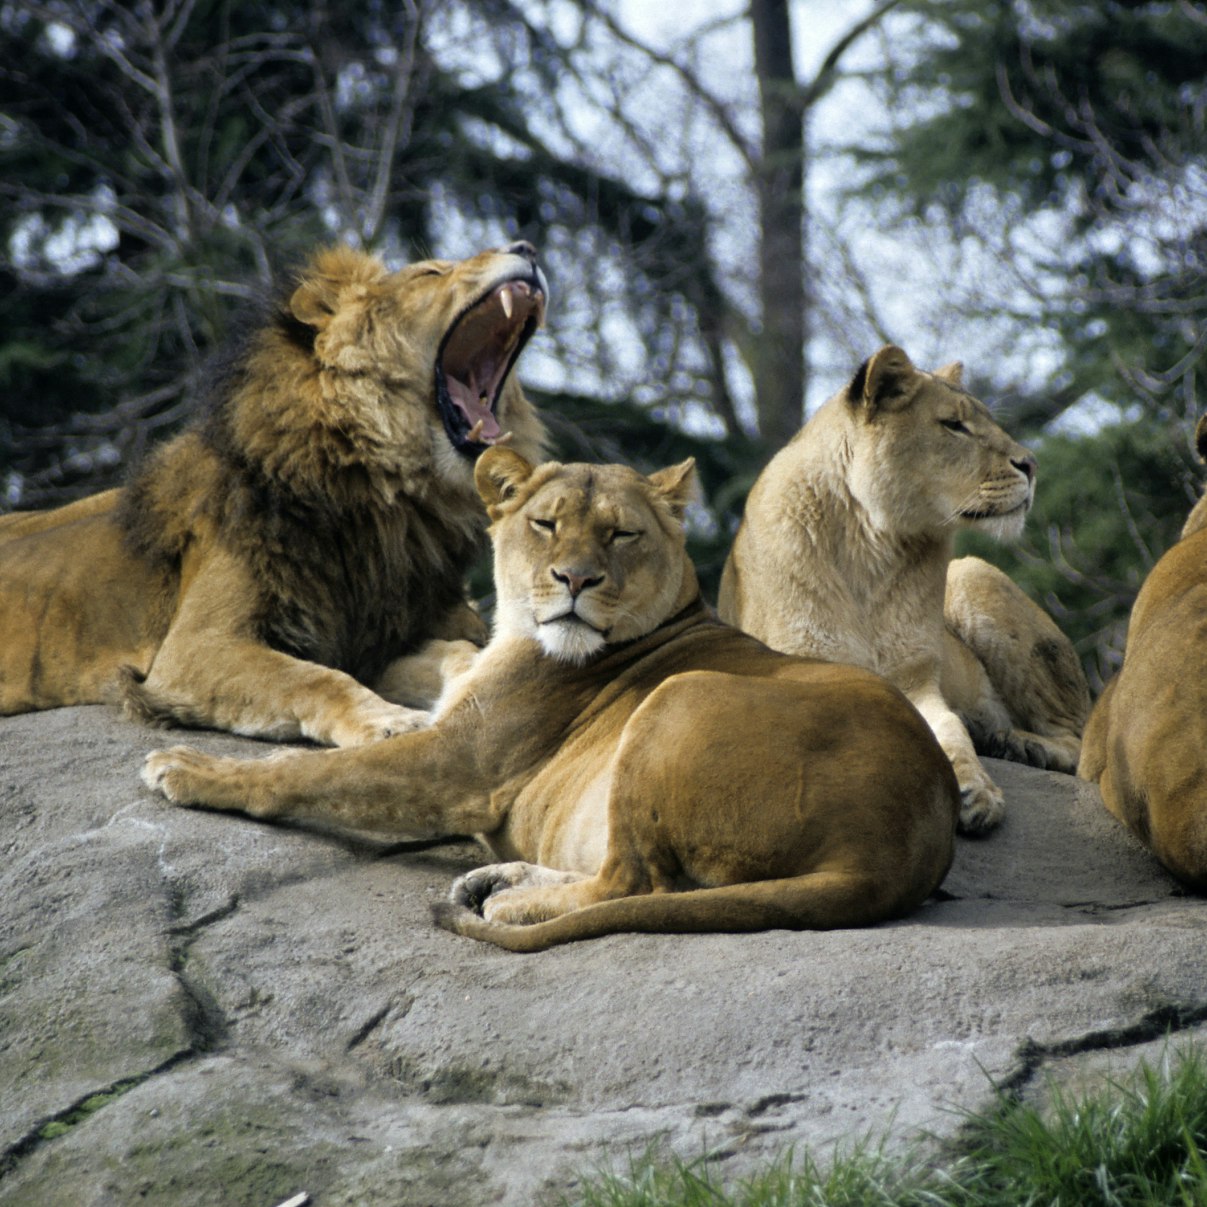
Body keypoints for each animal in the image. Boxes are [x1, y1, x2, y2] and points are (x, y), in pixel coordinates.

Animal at [0, 242, 548, 746]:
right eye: (431, 273)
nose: (526, 247)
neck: (384, 497)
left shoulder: (381, 639)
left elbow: (459, 653)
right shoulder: (195, 647)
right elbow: (314, 678)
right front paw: (387, 722)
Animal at [142, 449, 961, 951]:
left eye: (622, 535)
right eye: (545, 523)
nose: (575, 579)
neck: (521, 631)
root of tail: (890, 851)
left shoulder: (458, 765)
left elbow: (307, 774)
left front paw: (188, 767)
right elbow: (439, 665)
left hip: (677, 697)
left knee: (633, 880)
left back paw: (509, 898)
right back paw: (502, 880)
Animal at [718, 344, 1089, 835]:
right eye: (954, 425)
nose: (1031, 464)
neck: (870, 546)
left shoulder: (915, 679)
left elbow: (948, 729)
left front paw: (977, 791)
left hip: (972, 576)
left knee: (1081, 743)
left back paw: (1019, 745)